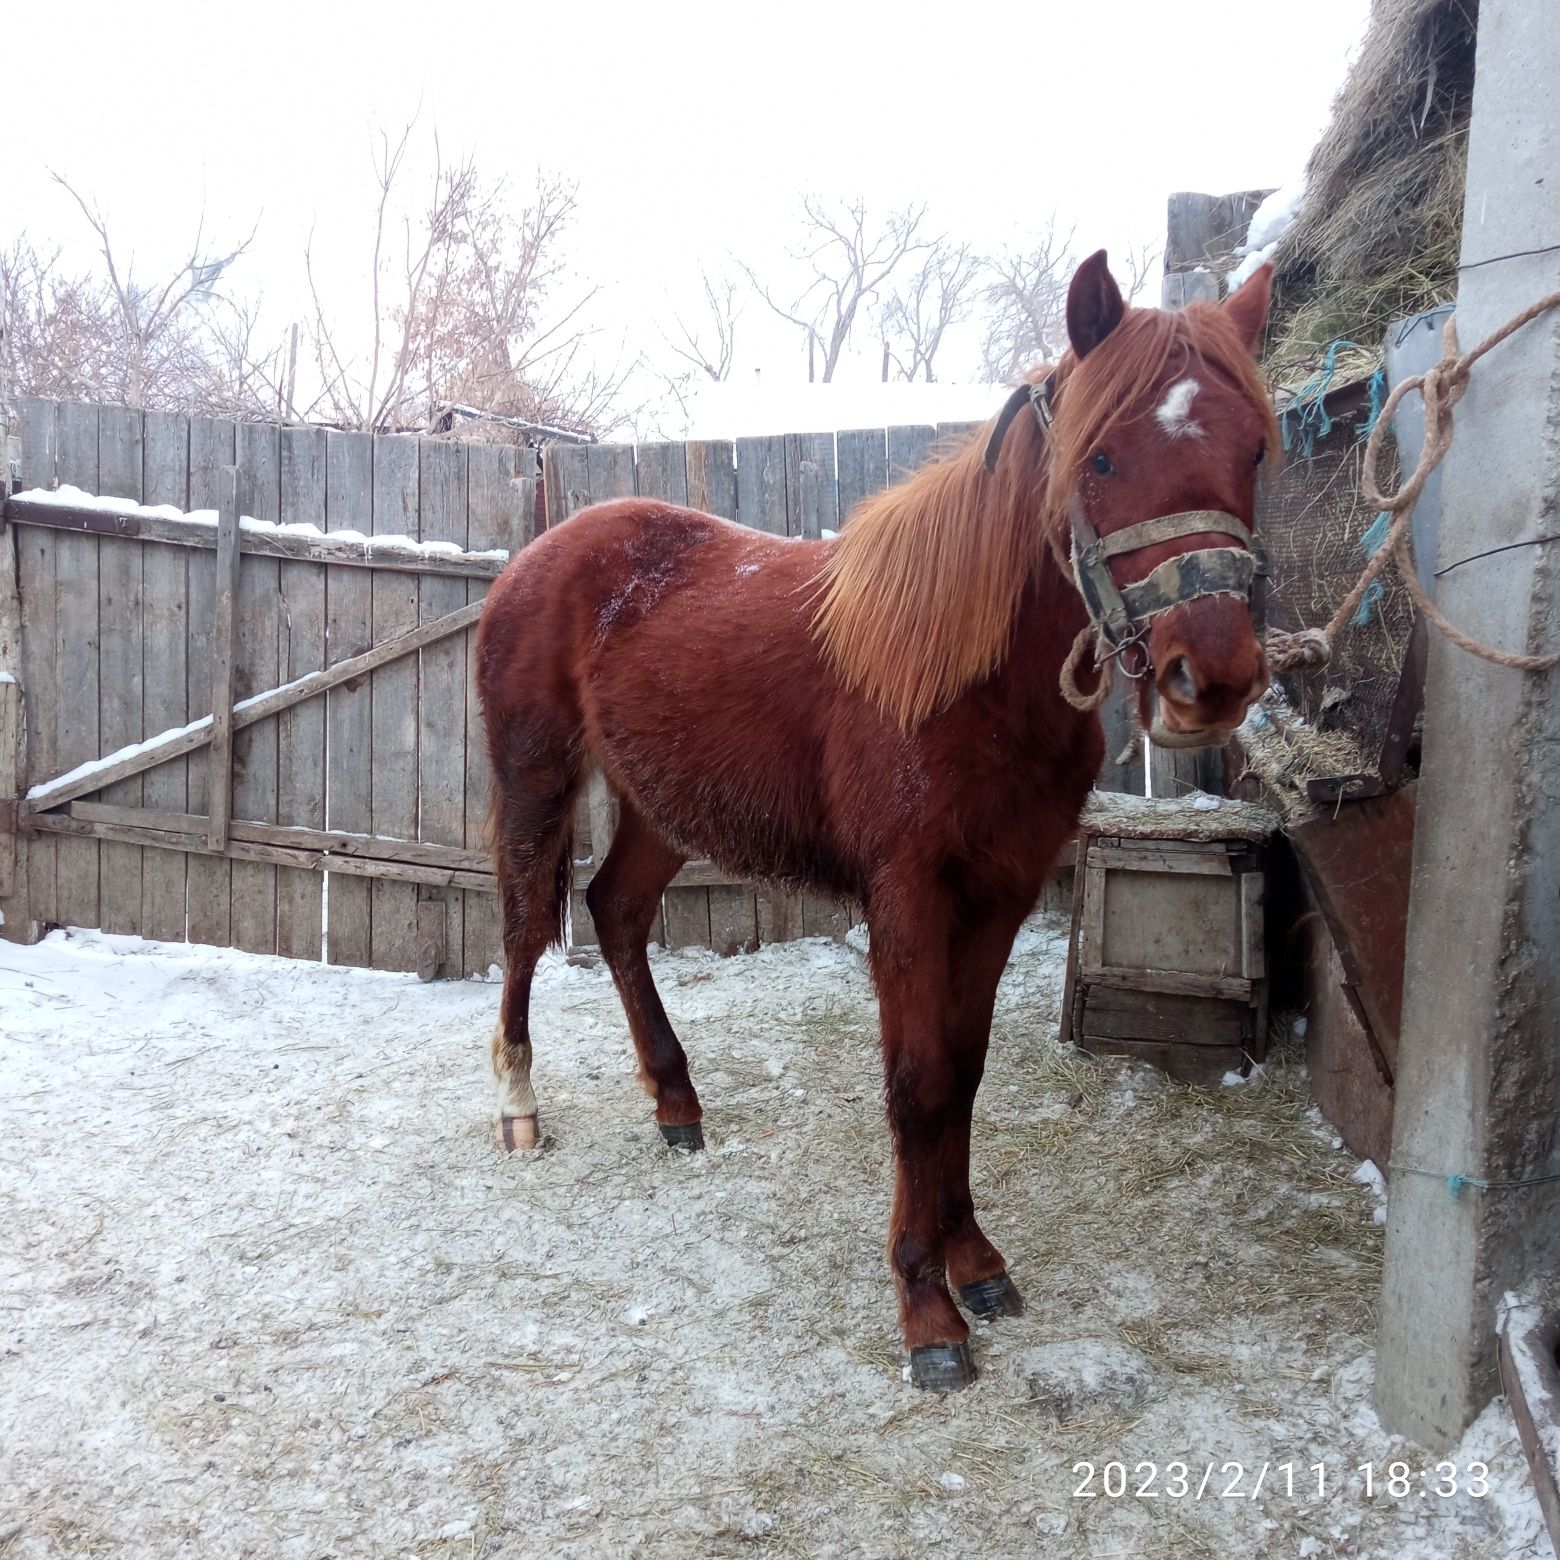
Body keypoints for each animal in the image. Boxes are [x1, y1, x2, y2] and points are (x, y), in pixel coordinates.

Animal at [477, 252, 1279, 1391]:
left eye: (1252, 448)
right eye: (1105, 456)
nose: (1210, 677)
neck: (964, 675)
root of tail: (546, 548)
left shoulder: (1000, 895)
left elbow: (964, 1074)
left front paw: (975, 1261)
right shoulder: (906, 898)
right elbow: (918, 1083)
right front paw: (925, 1307)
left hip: (663, 805)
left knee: (616, 914)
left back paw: (677, 1106)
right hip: (536, 780)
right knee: (520, 929)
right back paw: (519, 1105)